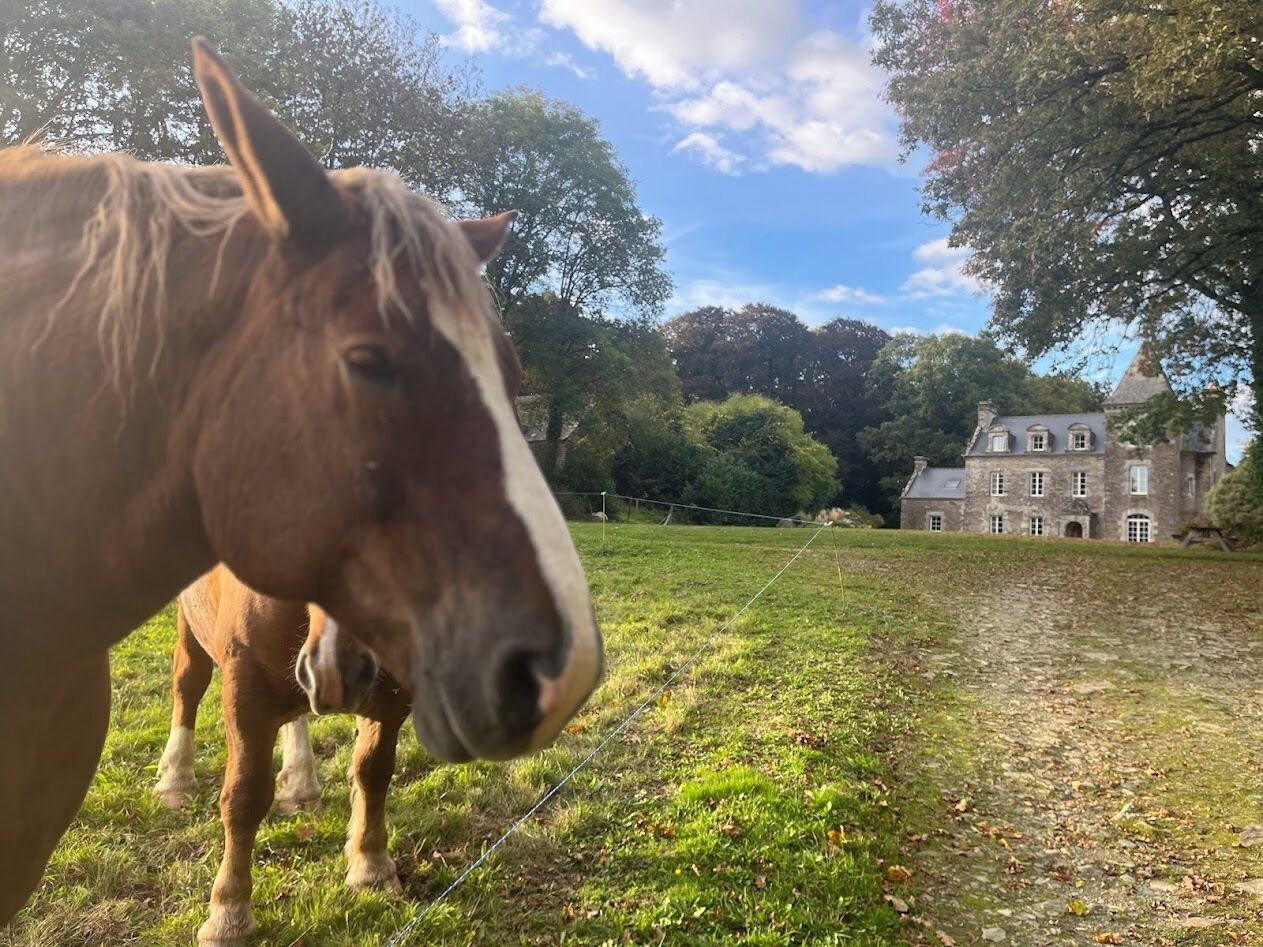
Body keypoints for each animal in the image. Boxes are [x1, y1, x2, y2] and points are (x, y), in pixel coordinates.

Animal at [154, 566, 410, 945]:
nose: (342, 667)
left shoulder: (392, 697)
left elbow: (373, 773)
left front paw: (371, 867)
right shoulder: (247, 693)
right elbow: (245, 797)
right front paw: (229, 913)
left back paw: (301, 783)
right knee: (188, 679)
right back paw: (177, 778)